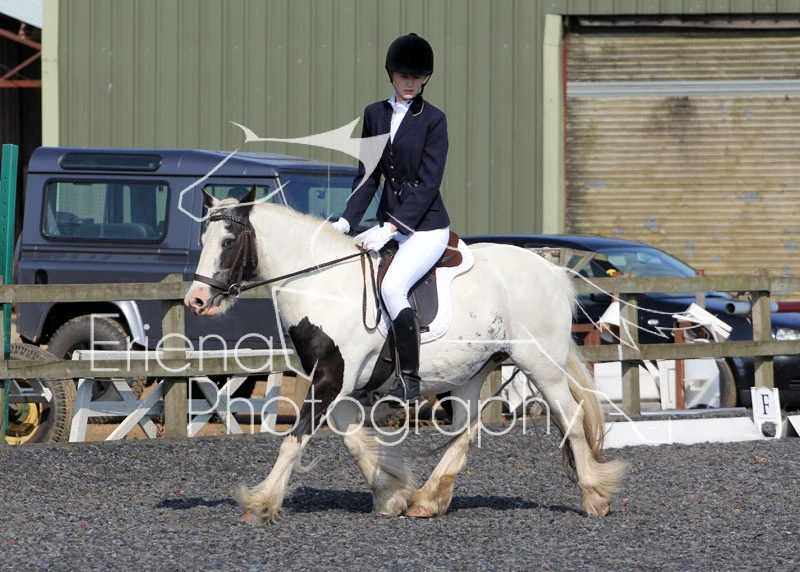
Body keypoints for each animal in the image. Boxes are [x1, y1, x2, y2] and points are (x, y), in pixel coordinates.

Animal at [184, 187, 626, 523]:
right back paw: (428, 499)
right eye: (202, 242)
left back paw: (594, 497)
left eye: (228, 241)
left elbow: (294, 441)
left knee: (570, 420)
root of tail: (549, 270)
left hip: (541, 365)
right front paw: (390, 495)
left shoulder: (331, 378)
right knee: (466, 427)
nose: (197, 300)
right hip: (470, 373)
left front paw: (261, 505)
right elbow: (352, 441)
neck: (323, 283)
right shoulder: (337, 382)